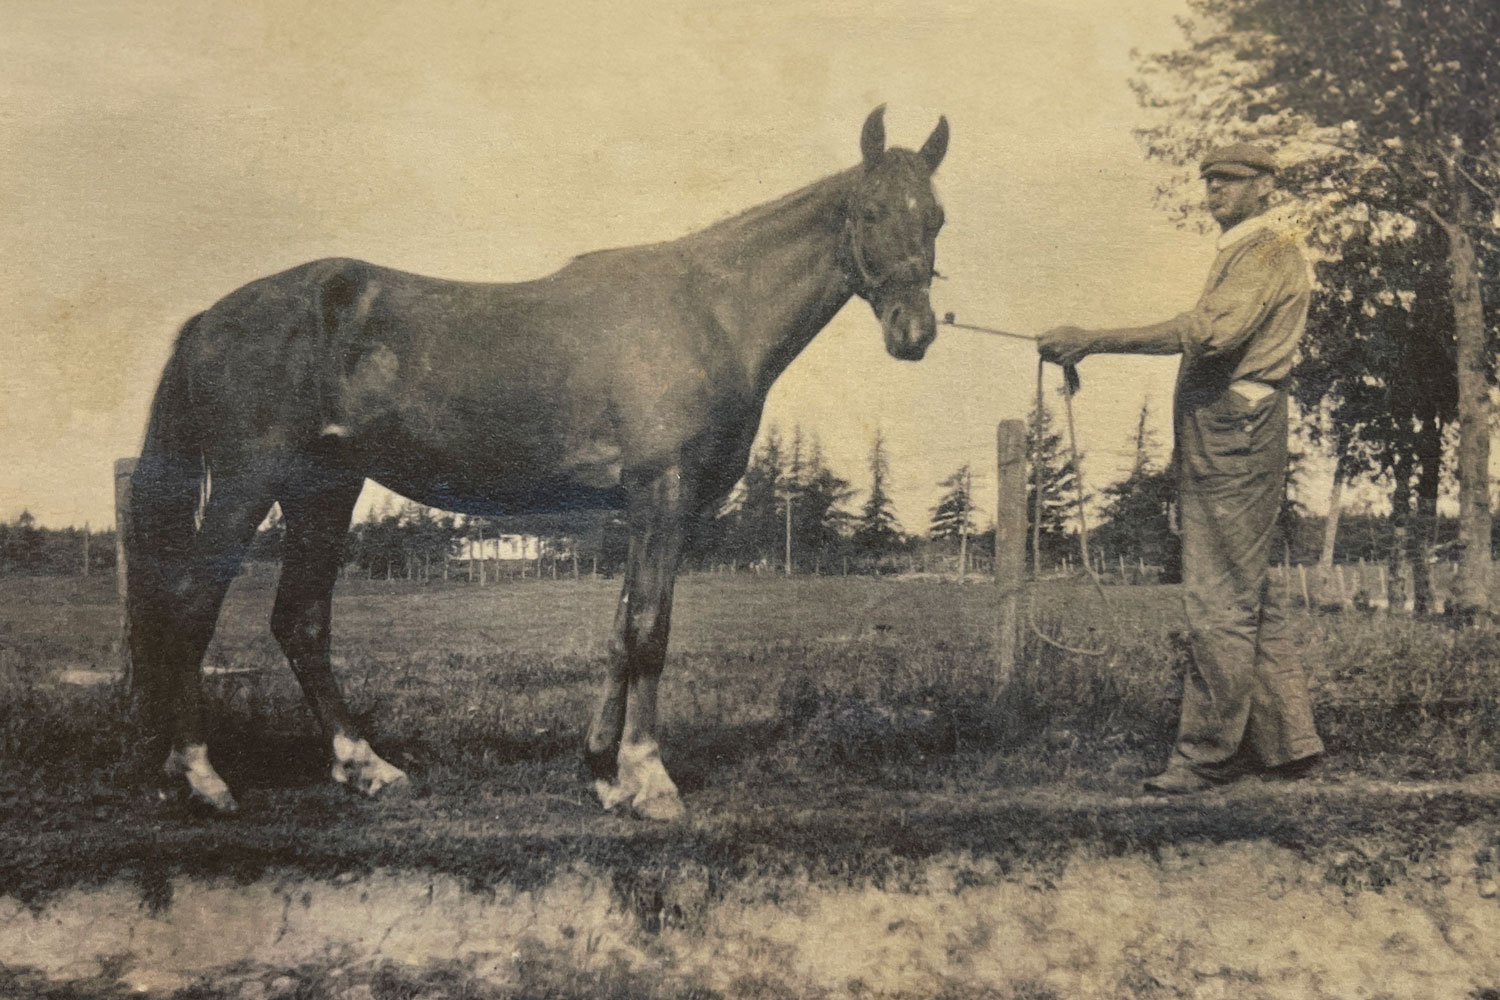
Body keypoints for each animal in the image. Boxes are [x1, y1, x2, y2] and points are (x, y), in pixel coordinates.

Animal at [129, 105, 948, 815]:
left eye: (937, 218)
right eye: (871, 212)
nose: (915, 334)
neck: (708, 312)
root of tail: (210, 319)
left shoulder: (645, 510)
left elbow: (621, 631)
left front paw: (605, 774)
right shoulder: (663, 492)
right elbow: (650, 631)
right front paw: (652, 782)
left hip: (323, 489)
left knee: (300, 620)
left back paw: (367, 768)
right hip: (248, 484)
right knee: (192, 605)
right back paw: (202, 776)